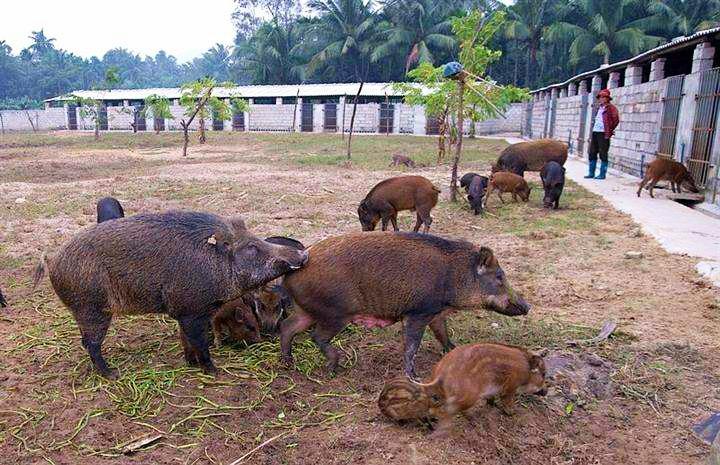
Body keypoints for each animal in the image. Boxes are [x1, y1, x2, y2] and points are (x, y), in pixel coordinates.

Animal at [32, 210, 308, 376]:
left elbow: (187, 340)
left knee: (85, 342)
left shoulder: (187, 312)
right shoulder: (192, 311)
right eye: (251, 247)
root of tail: (52, 260)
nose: (303, 255)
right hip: (93, 310)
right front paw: (213, 371)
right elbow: (199, 341)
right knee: (91, 344)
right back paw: (112, 374)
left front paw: (191, 363)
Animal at [282, 232, 528, 376]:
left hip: (308, 311)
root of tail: (294, 270)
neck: (455, 276)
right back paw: (334, 368)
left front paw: (454, 350)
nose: (527, 306)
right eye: (499, 277)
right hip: (335, 314)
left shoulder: (436, 313)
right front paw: (415, 377)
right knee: (316, 336)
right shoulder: (418, 312)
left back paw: (288, 364)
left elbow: (443, 334)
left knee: (287, 328)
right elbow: (411, 346)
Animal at [376, 340, 544, 436]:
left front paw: (493, 405)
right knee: (447, 411)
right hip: (469, 396)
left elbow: (492, 399)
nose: (545, 391)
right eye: (543, 374)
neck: (526, 368)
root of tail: (441, 373)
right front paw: (513, 413)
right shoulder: (510, 387)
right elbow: (507, 401)